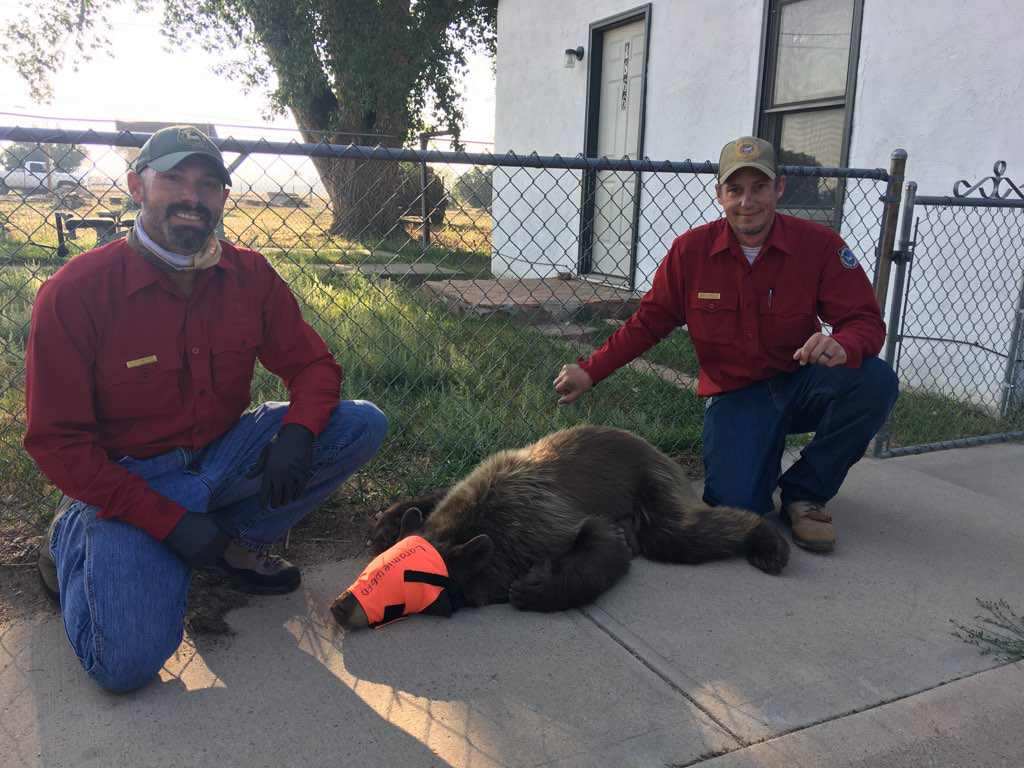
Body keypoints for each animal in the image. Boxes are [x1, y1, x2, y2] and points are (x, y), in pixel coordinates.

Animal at [357, 424, 789, 618]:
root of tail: (652, 447)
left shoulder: (545, 524)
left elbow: (600, 547)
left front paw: (538, 591)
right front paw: (388, 521)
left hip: (657, 492)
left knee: (681, 534)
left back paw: (767, 541)